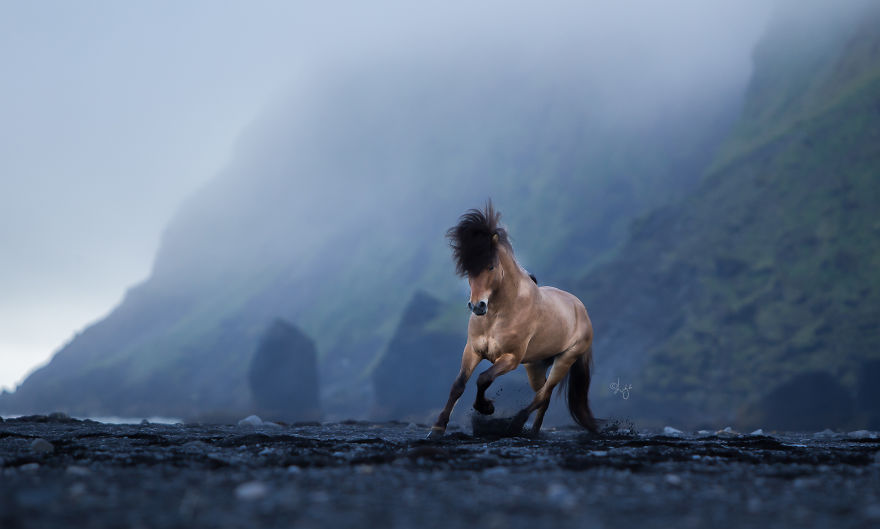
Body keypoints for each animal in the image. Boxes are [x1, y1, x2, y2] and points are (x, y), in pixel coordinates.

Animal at [428, 201, 599, 439]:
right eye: (468, 269)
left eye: (491, 266)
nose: (478, 306)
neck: (498, 314)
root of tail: (580, 308)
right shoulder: (473, 350)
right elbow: (458, 385)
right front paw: (437, 427)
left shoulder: (511, 358)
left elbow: (483, 378)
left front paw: (486, 407)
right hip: (535, 365)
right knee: (543, 397)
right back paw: (533, 432)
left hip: (565, 359)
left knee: (543, 394)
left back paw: (516, 425)